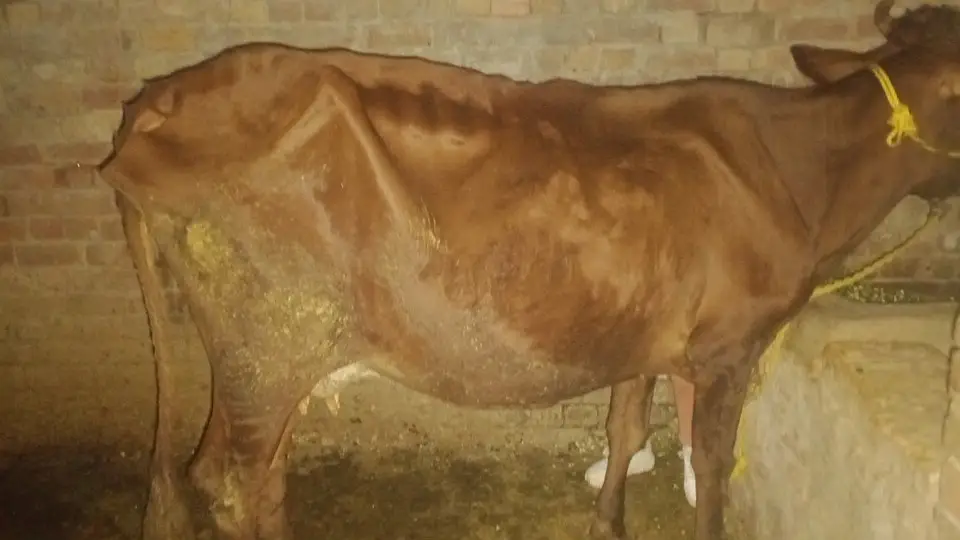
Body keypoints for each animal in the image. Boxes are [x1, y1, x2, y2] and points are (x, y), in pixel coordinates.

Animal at [95, 2, 960, 539]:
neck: (799, 172)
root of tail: (158, 104)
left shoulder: (638, 336)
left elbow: (624, 430)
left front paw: (607, 523)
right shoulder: (728, 349)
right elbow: (714, 467)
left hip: (267, 357)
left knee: (258, 477)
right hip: (268, 348)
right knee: (230, 480)